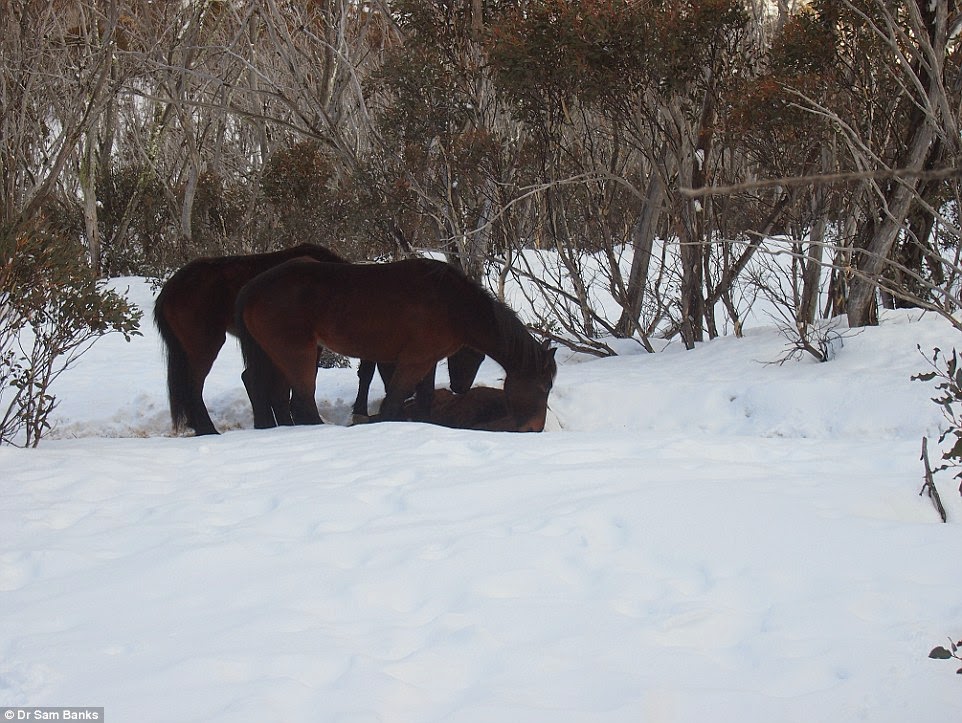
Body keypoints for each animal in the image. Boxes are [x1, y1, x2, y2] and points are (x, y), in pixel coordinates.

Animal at [155, 243, 484, 436]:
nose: (461, 388)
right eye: (472, 353)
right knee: (194, 385)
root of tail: (169, 290)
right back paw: (209, 429)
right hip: (205, 344)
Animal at [235, 258, 560, 432]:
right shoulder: (414, 361)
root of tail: (252, 288)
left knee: (264, 388)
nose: (535, 428)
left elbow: (425, 401)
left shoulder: (428, 361)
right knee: (300, 400)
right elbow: (393, 403)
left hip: (273, 354)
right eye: (545, 385)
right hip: (297, 354)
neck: (452, 304)